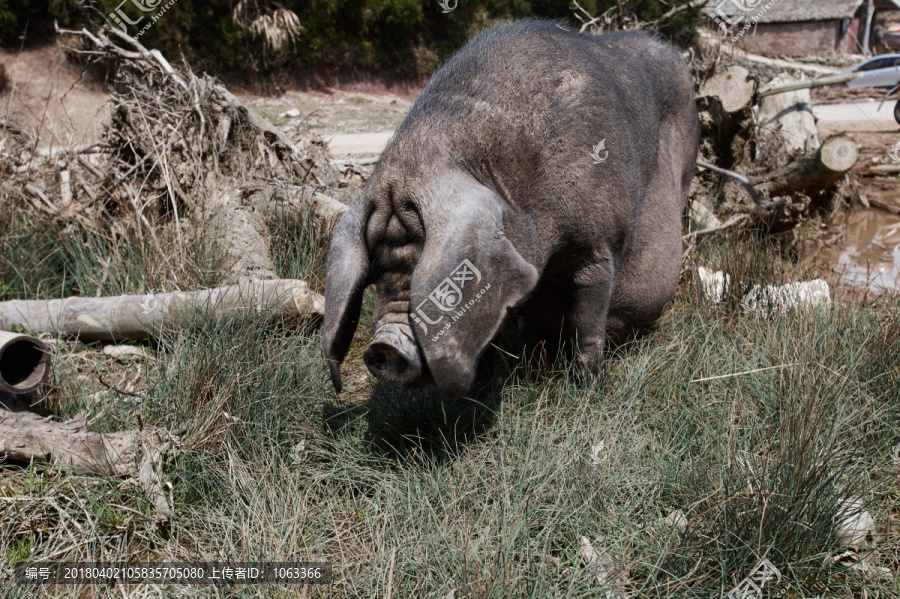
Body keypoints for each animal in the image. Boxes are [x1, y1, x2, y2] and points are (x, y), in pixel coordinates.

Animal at [324, 18, 704, 396]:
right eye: (377, 270)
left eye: (424, 259)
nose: (383, 345)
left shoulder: (599, 243)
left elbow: (587, 322)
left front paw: (589, 386)